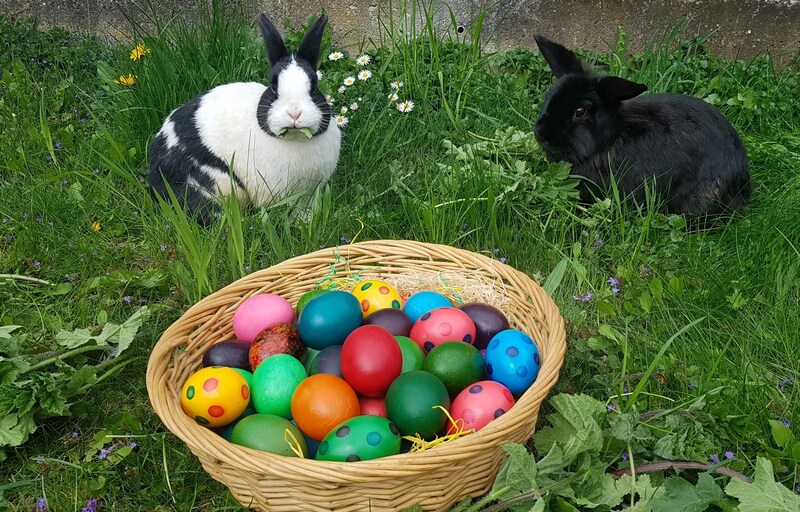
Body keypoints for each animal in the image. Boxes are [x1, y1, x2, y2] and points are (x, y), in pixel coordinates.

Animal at [147, 12, 340, 222]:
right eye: (274, 87)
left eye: (314, 87)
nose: (295, 113)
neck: (295, 138)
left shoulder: (308, 194)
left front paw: (306, 222)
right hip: (217, 185)